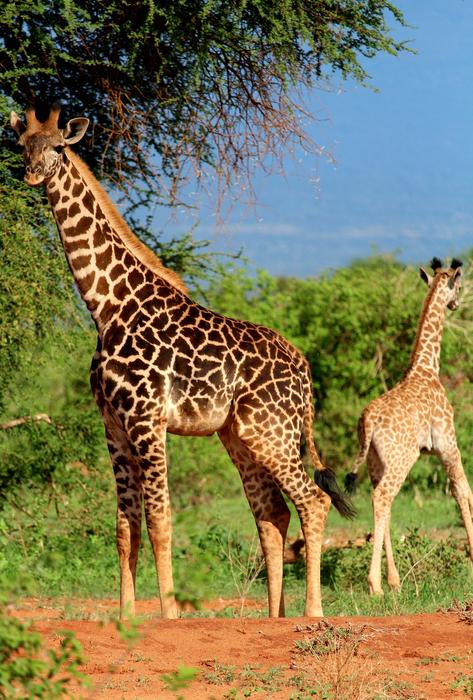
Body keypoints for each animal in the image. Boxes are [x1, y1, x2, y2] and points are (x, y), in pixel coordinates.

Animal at [11, 104, 354, 619]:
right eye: (21, 144)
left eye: (57, 146)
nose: (30, 174)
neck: (106, 308)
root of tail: (305, 371)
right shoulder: (113, 425)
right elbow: (125, 528)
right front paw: (125, 616)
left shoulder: (147, 419)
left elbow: (160, 520)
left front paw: (170, 614)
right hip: (239, 435)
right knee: (271, 511)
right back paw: (274, 616)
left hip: (271, 432)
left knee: (312, 500)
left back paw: (312, 613)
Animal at [345, 257, 473, 596]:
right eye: (459, 285)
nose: (456, 304)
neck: (426, 368)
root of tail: (367, 421)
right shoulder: (448, 444)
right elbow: (462, 489)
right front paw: (472, 555)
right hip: (402, 458)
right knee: (382, 498)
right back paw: (375, 584)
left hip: (376, 462)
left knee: (383, 503)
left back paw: (394, 580)